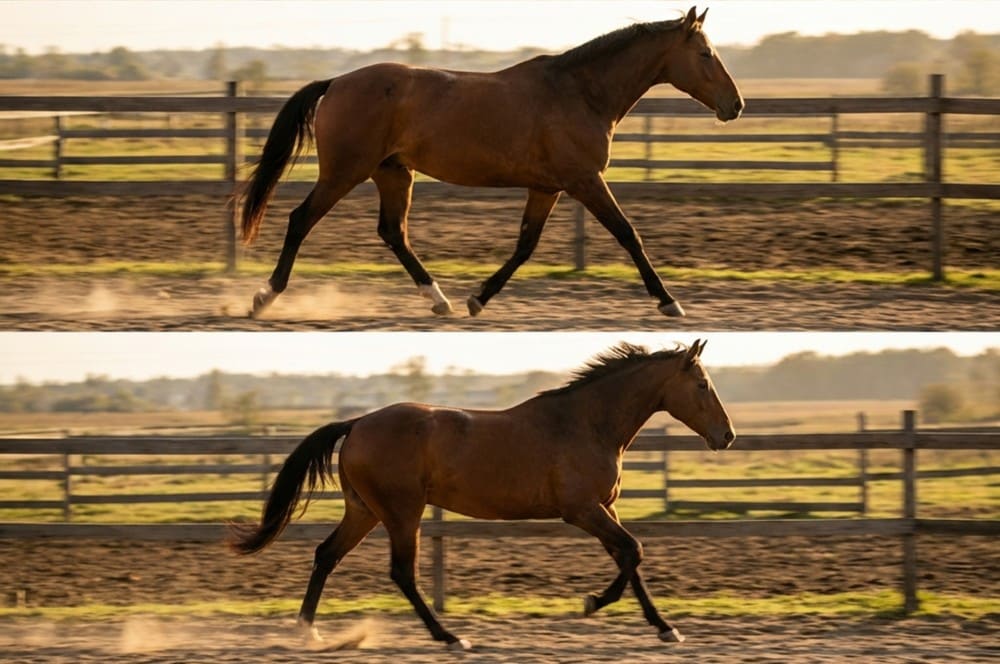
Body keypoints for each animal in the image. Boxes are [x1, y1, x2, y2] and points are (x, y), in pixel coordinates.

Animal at [229, 339, 736, 649]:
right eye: (702, 384)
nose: (727, 436)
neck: (585, 424)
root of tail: (356, 424)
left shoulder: (603, 510)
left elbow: (629, 557)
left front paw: (665, 628)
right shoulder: (582, 510)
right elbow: (634, 551)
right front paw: (594, 603)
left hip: (364, 511)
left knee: (326, 555)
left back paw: (309, 632)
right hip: (402, 513)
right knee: (401, 573)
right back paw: (450, 638)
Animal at [239, 7, 743, 320]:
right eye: (705, 53)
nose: (735, 105)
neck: (580, 92)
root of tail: (337, 82)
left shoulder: (547, 188)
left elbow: (525, 246)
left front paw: (478, 299)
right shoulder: (585, 181)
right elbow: (628, 234)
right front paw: (669, 302)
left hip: (393, 173)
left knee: (393, 233)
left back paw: (439, 300)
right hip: (345, 171)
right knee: (301, 219)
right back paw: (264, 297)